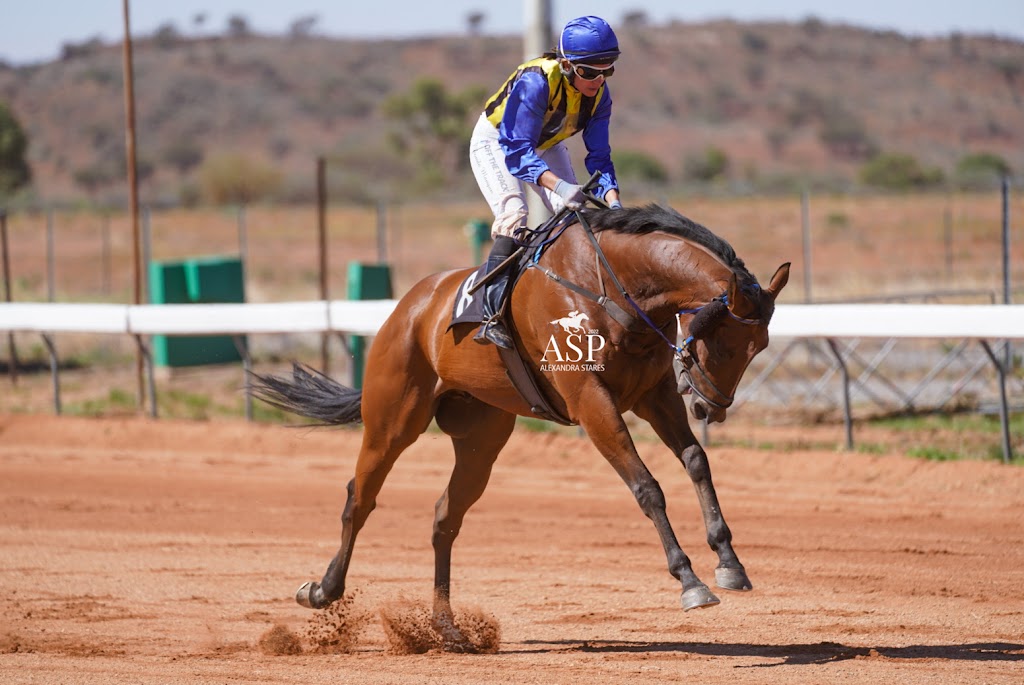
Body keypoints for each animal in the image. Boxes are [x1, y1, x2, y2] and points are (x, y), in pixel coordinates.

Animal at [256, 204, 790, 651]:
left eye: (760, 347)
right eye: (726, 345)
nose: (710, 408)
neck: (610, 286)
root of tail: (410, 306)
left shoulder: (654, 394)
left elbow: (696, 460)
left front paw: (729, 562)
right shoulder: (592, 402)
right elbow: (647, 487)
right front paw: (690, 582)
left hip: (482, 440)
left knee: (445, 517)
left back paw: (448, 629)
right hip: (392, 422)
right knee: (359, 499)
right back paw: (323, 590)